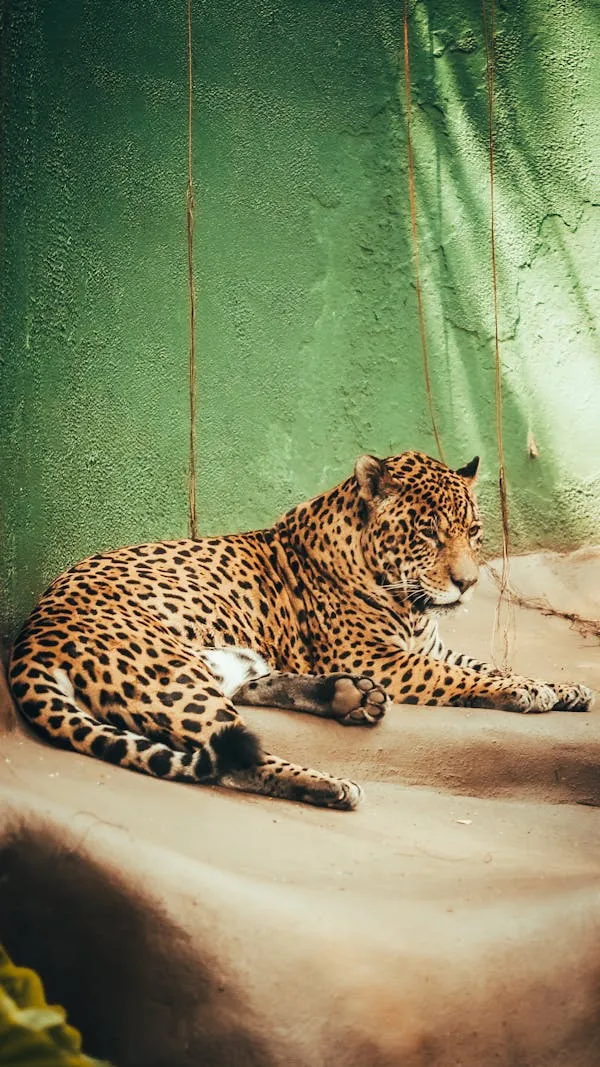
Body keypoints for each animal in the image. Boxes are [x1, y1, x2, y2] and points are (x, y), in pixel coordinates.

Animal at [8, 450, 593, 811]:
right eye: (427, 533)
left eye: (473, 532)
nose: (469, 584)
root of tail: (34, 631)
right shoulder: (380, 658)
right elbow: (464, 679)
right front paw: (528, 692)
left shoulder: (428, 646)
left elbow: (487, 664)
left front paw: (563, 687)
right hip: (169, 673)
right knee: (232, 756)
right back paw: (332, 784)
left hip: (216, 662)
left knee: (244, 695)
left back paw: (345, 698)